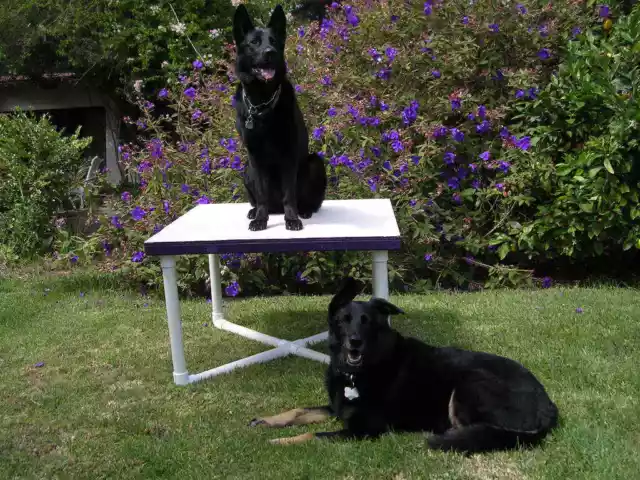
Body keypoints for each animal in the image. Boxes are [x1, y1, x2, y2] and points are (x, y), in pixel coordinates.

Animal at [232, 4, 328, 231]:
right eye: (254, 43)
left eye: (274, 41)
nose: (270, 52)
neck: (262, 103)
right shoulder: (255, 158)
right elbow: (261, 195)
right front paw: (260, 219)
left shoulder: (288, 155)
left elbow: (289, 195)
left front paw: (292, 219)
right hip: (247, 169)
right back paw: (255, 211)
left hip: (315, 162)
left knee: (307, 200)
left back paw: (304, 211)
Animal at [251, 278, 560, 454]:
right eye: (343, 320)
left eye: (367, 322)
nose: (355, 342)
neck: (359, 372)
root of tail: (548, 406)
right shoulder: (337, 407)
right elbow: (299, 411)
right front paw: (267, 421)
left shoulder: (362, 430)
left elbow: (311, 433)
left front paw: (280, 443)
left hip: (469, 384)